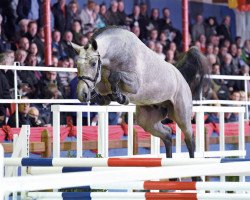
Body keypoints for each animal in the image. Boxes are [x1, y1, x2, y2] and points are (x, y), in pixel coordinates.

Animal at [70, 26, 209, 164]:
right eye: (77, 65)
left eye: (93, 63)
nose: (82, 94)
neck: (116, 54)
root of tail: (181, 77)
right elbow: (105, 95)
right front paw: (112, 95)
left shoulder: (134, 84)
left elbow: (115, 76)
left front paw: (120, 96)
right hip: (147, 121)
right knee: (168, 134)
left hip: (181, 115)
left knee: (189, 139)